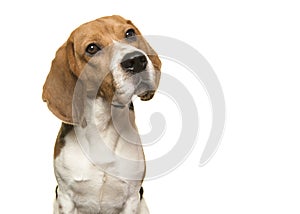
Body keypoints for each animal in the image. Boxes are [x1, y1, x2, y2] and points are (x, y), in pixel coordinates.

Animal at [42, 15, 161, 214]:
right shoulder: (66, 198)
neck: (104, 125)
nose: (136, 61)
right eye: (92, 48)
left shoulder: (131, 197)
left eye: (130, 33)